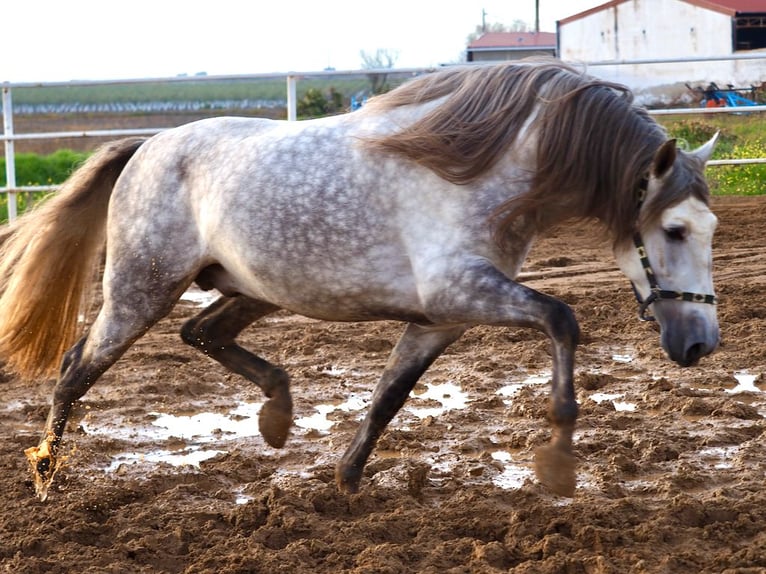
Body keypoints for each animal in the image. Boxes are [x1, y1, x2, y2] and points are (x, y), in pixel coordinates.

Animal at [0, 60, 720, 502]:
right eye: (675, 229)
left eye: (711, 228)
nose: (701, 344)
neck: (485, 167)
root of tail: (147, 146)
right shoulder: (459, 290)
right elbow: (563, 319)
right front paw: (560, 464)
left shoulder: (443, 318)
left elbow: (388, 396)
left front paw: (346, 480)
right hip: (140, 290)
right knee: (77, 368)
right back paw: (45, 475)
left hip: (251, 289)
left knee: (200, 332)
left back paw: (277, 416)